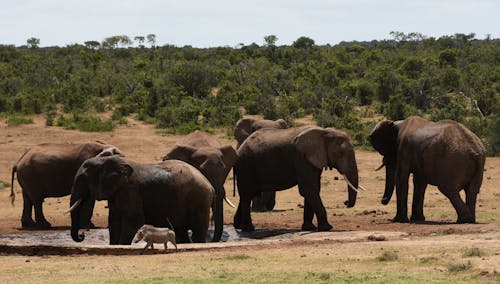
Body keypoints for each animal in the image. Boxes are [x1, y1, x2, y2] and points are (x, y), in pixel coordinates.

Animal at [69, 155, 215, 244]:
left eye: (82, 179)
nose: (82, 235)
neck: (105, 160)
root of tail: (210, 186)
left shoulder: (130, 190)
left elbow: (134, 221)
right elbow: (114, 221)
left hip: (199, 200)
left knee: (198, 231)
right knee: (181, 231)